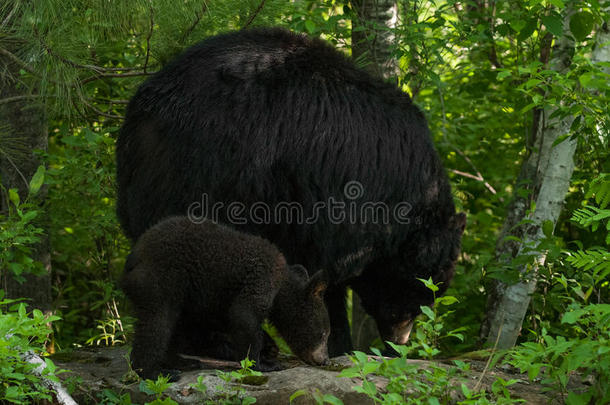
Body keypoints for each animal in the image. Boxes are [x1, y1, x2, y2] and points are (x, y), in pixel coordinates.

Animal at [115, 26, 466, 356]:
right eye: (422, 288)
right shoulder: (333, 202)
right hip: (207, 176)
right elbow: (324, 276)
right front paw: (338, 340)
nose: (399, 342)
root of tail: (142, 114)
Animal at [122, 216, 328, 378]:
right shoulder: (261, 276)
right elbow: (244, 315)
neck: (282, 283)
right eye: (324, 333)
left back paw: (182, 362)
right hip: (160, 278)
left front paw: (269, 347)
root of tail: (132, 258)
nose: (324, 360)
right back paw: (155, 371)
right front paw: (263, 363)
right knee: (157, 322)